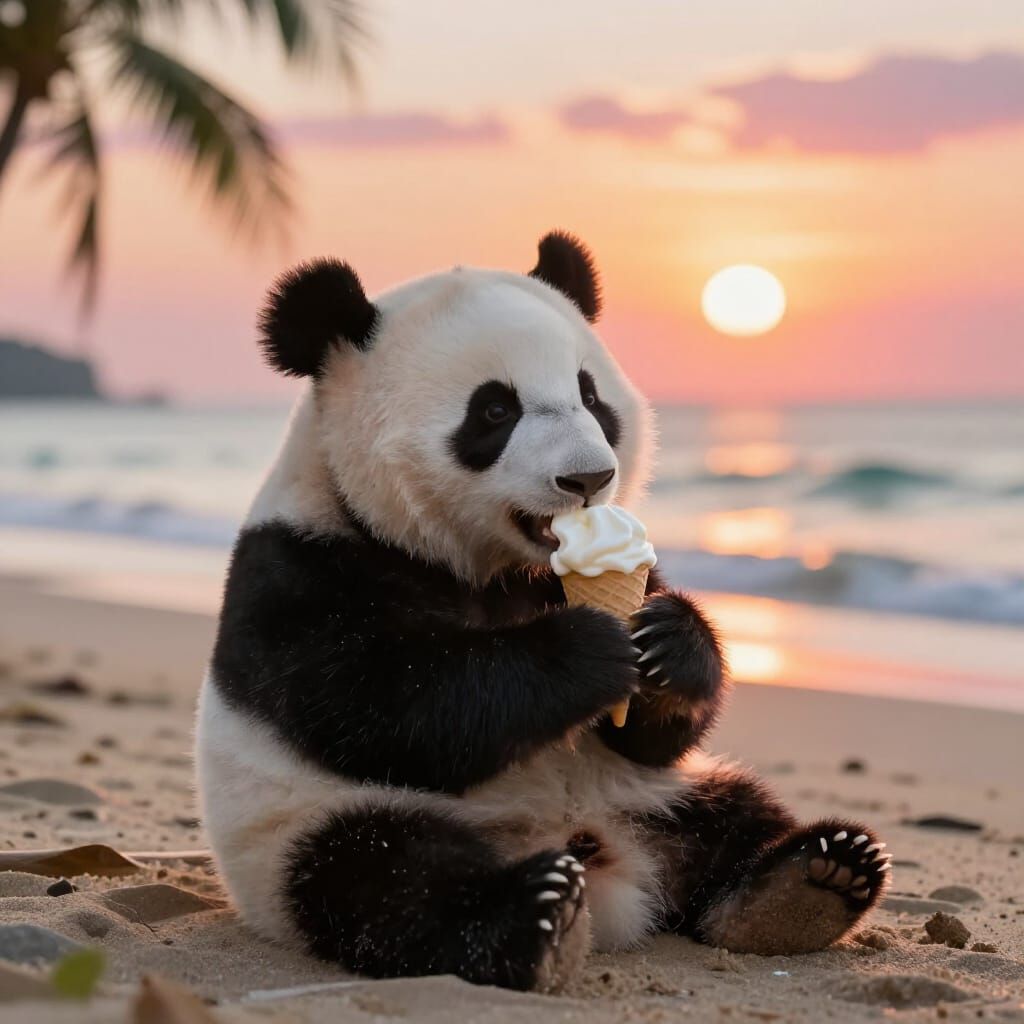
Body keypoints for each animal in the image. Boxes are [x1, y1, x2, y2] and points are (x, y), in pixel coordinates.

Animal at [195, 231, 890, 992]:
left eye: (590, 395)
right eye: (495, 411)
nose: (588, 478)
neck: (490, 564)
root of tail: (604, 862)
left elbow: (655, 732)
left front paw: (667, 646)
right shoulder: (302, 568)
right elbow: (388, 704)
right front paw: (585, 652)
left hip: (661, 795)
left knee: (734, 815)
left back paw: (807, 883)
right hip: (298, 828)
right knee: (381, 875)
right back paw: (532, 917)